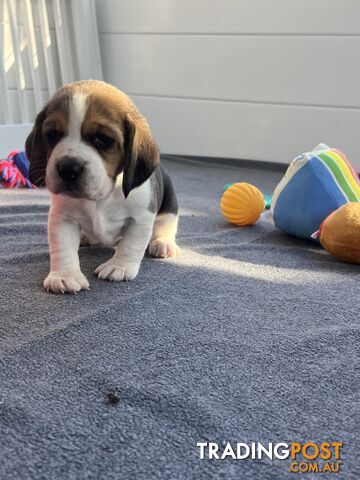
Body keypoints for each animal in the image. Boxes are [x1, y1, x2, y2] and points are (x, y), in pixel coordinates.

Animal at [26, 79, 180, 292]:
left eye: (102, 139)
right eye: (53, 134)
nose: (67, 168)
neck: (101, 196)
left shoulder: (141, 218)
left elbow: (130, 245)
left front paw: (119, 266)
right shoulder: (62, 218)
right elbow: (62, 247)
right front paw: (65, 275)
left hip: (170, 204)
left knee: (166, 224)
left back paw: (163, 243)